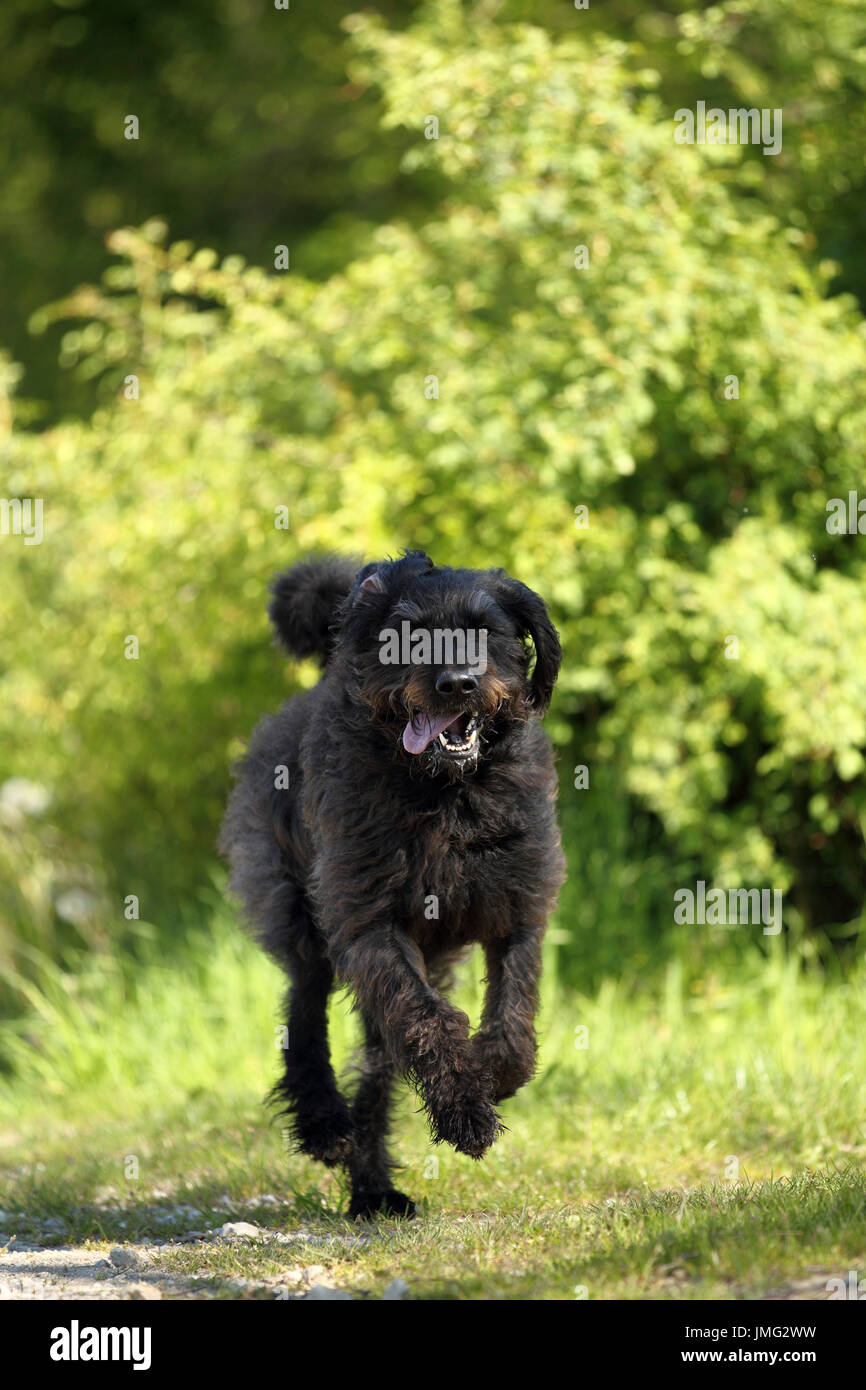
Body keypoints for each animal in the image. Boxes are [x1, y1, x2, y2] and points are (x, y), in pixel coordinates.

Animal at [219, 553, 567, 1217]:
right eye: (409, 635)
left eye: (484, 629)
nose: (456, 683)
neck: (446, 793)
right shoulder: (369, 926)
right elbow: (428, 1021)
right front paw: (465, 1114)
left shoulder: (519, 915)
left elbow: (512, 1018)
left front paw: (492, 1078)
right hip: (303, 919)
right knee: (305, 1010)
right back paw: (325, 1123)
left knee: (380, 1061)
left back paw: (373, 1188)